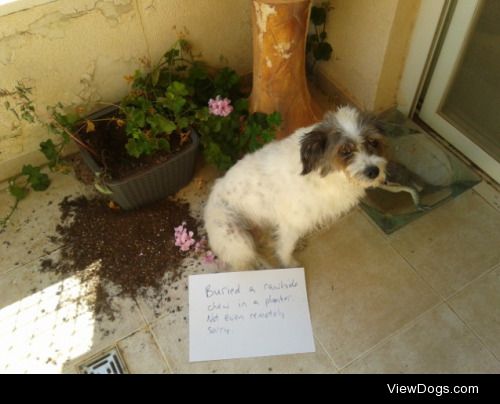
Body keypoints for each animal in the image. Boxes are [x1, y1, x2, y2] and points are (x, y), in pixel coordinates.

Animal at [202, 105, 386, 270]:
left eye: (373, 141)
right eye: (345, 151)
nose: (374, 171)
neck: (321, 172)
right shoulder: (291, 223)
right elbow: (285, 249)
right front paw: (289, 264)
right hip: (238, 240)